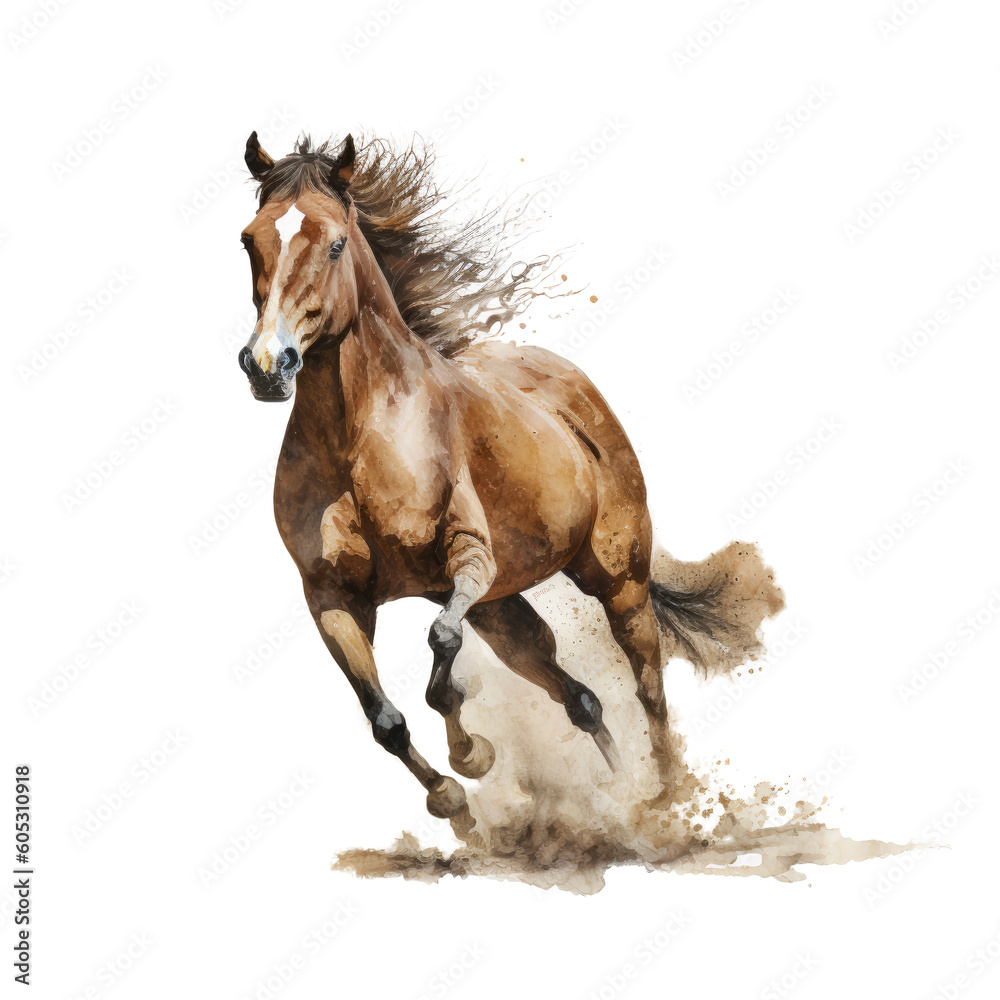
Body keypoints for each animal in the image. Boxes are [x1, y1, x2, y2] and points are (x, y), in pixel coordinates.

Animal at [236, 132, 783, 821]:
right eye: (249, 239)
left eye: (335, 242)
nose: (267, 364)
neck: (356, 439)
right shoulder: (331, 597)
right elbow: (384, 719)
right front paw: (453, 801)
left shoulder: (471, 560)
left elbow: (442, 643)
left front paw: (472, 755)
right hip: (503, 611)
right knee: (581, 699)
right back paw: (620, 801)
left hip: (616, 579)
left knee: (648, 683)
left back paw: (666, 800)